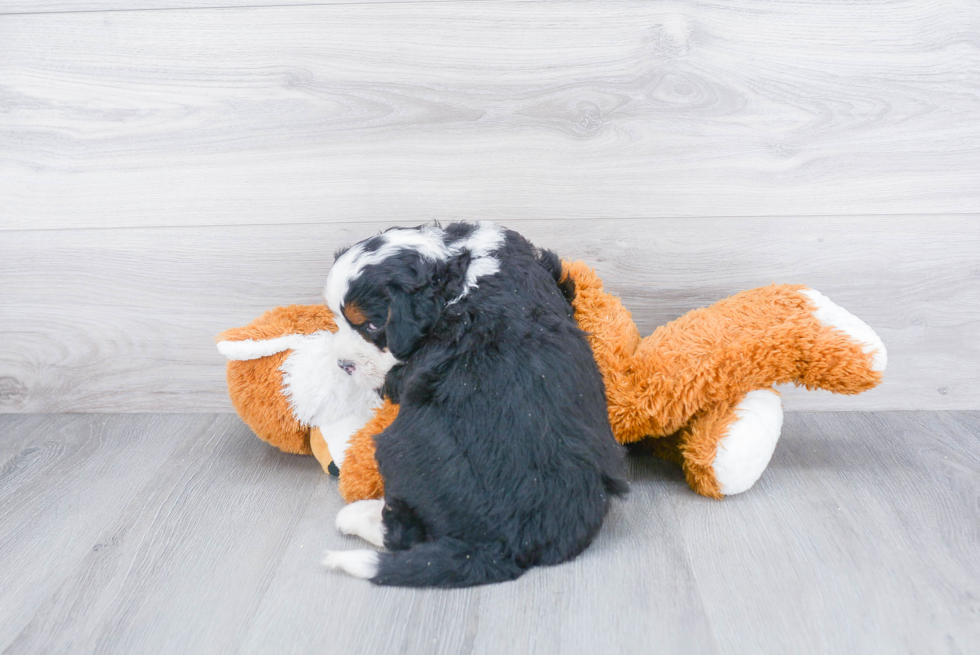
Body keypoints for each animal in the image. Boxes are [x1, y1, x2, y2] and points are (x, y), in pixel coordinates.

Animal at [322, 223, 628, 588]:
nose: (342, 364)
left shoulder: (404, 370)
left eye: (371, 325)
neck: (454, 268)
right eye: (339, 320)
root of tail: (509, 545)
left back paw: (354, 515)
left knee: (402, 532)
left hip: (398, 448)